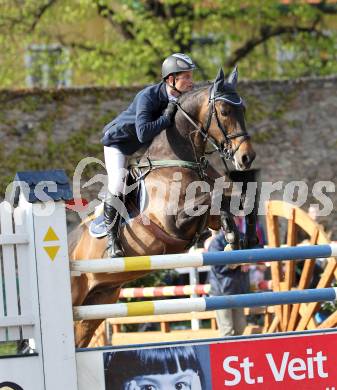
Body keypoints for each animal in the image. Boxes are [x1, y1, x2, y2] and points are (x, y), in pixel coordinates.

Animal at [70, 67, 255, 348]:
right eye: (224, 111)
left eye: (243, 109)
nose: (247, 158)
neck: (178, 158)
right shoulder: (172, 222)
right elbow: (210, 197)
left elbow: (222, 201)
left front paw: (234, 238)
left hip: (99, 300)